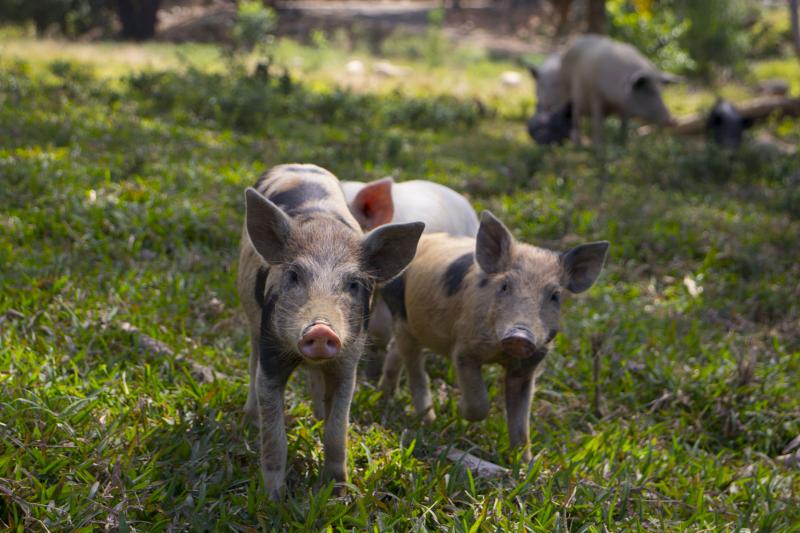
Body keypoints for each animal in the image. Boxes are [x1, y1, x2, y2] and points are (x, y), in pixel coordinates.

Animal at [238, 162, 424, 498]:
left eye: (353, 283)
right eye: (294, 275)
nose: (322, 329)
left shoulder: (348, 359)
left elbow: (338, 430)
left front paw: (338, 492)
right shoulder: (271, 351)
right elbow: (274, 434)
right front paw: (273, 498)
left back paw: (317, 415)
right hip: (251, 318)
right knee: (252, 361)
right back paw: (249, 422)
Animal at [378, 212, 608, 462]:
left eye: (555, 295)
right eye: (505, 286)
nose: (520, 335)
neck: (500, 354)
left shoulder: (528, 366)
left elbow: (521, 422)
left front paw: (525, 463)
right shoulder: (463, 350)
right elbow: (479, 403)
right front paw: (459, 408)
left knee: (395, 350)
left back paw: (385, 396)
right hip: (400, 313)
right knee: (415, 369)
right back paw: (428, 420)